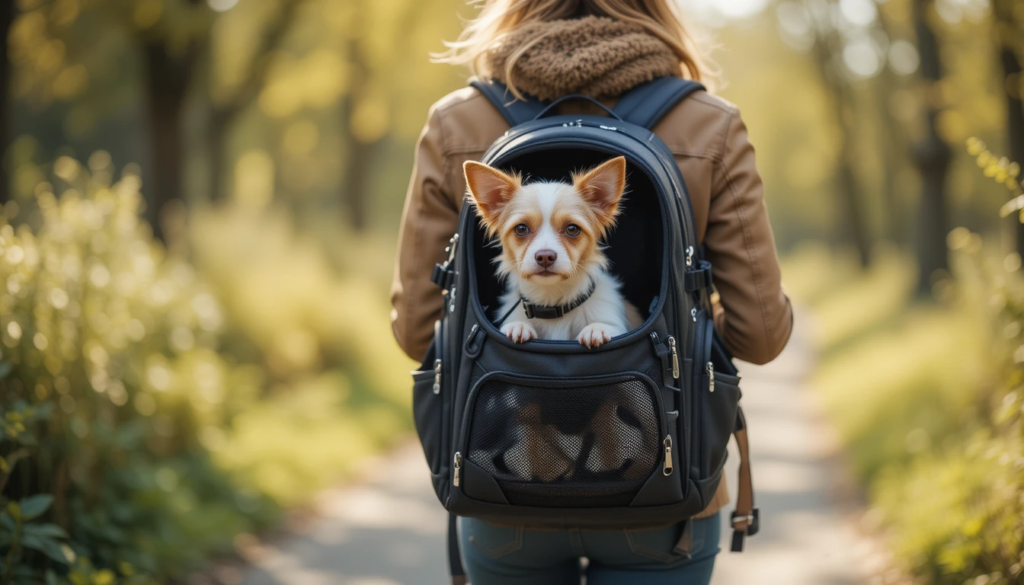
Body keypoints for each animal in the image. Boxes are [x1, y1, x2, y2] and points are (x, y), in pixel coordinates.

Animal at [464, 155, 638, 348]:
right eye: (521, 229)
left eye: (572, 229)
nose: (545, 256)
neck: (551, 300)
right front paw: (519, 326)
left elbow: (607, 327)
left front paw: (596, 329)